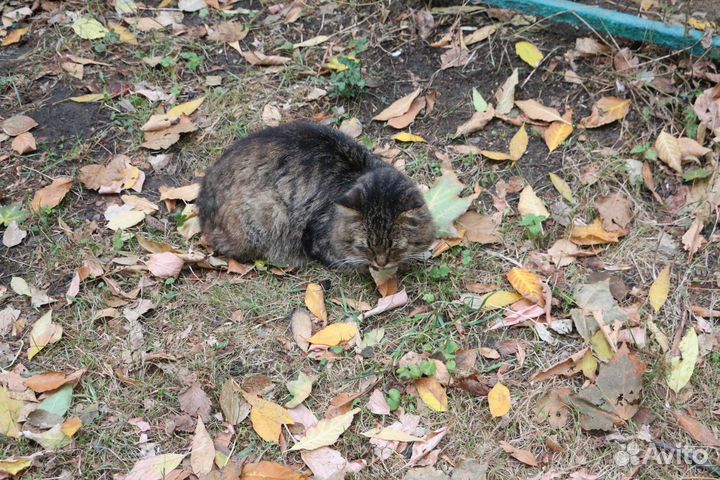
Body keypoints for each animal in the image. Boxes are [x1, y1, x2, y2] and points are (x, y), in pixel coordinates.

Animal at [195, 122, 434, 272]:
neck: (361, 171)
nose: (381, 263)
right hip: (269, 211)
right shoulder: (317, 239)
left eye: (394, 246)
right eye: (366, 246)